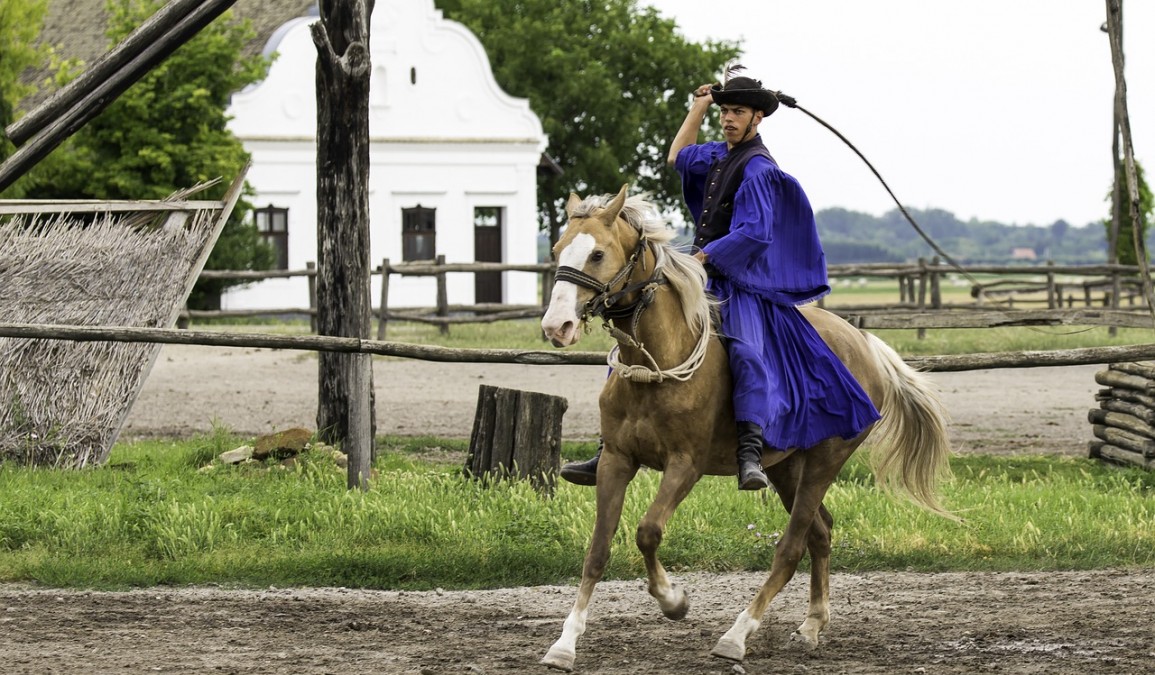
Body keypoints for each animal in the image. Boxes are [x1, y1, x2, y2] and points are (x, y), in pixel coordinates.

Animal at [535, 183, 951, 670]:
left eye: (598, 254)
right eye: (558, 250)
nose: (556, 326)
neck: (660, 361)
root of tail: (864, 343)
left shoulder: (685, 465)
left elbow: (648, 532)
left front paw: (674, 600)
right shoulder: (616, 461)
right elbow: (598, 550)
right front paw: (565, 644)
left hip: (825, 461)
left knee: (791, 548)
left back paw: (737, 635)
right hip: (787, 467)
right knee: (820, 533)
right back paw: (811, 626)